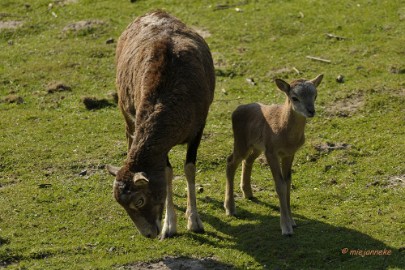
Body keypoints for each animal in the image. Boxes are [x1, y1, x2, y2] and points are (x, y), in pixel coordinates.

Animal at [106, 10, 215, 238]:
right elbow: (166, 173)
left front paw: (194, 221)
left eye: (139, 200)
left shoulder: (198, 128)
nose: (148, 234)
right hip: (125, 111)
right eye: (121, 205)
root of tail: (154, 11)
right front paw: (169, 226)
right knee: (128, 135)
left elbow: (189, 169)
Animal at [224, 74, 322, 234]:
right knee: (230, 162)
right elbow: (280, 185)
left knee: (247, 161)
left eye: (315, 95)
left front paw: (292, 221)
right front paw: (286, 228)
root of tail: (237, 109)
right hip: (240, 142)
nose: (311, 111)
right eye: (294, 97)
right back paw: (230, 208)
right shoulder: (271, 152)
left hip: (256, 147)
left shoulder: (289, 154)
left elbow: (287, 183)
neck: (285, 134)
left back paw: (248, 193)